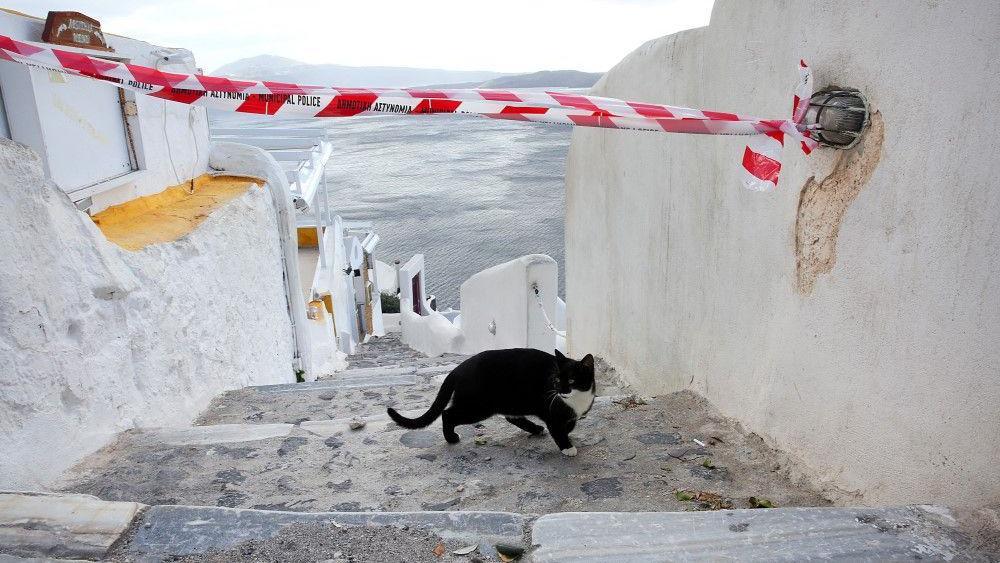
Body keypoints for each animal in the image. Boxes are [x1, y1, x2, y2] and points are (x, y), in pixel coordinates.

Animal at [384, 350, 592, 456]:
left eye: (571, 380)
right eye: (556, 380)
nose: (560, 391)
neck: (577, 399)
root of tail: (457, 369)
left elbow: (569, 425)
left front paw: (568, 433)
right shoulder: (551, 412)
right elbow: (558, 429)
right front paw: (567, 447)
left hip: (508, 401)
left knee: (512, 417)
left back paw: (535, 429)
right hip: (478, 407)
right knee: (447, 414)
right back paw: (451, 438)